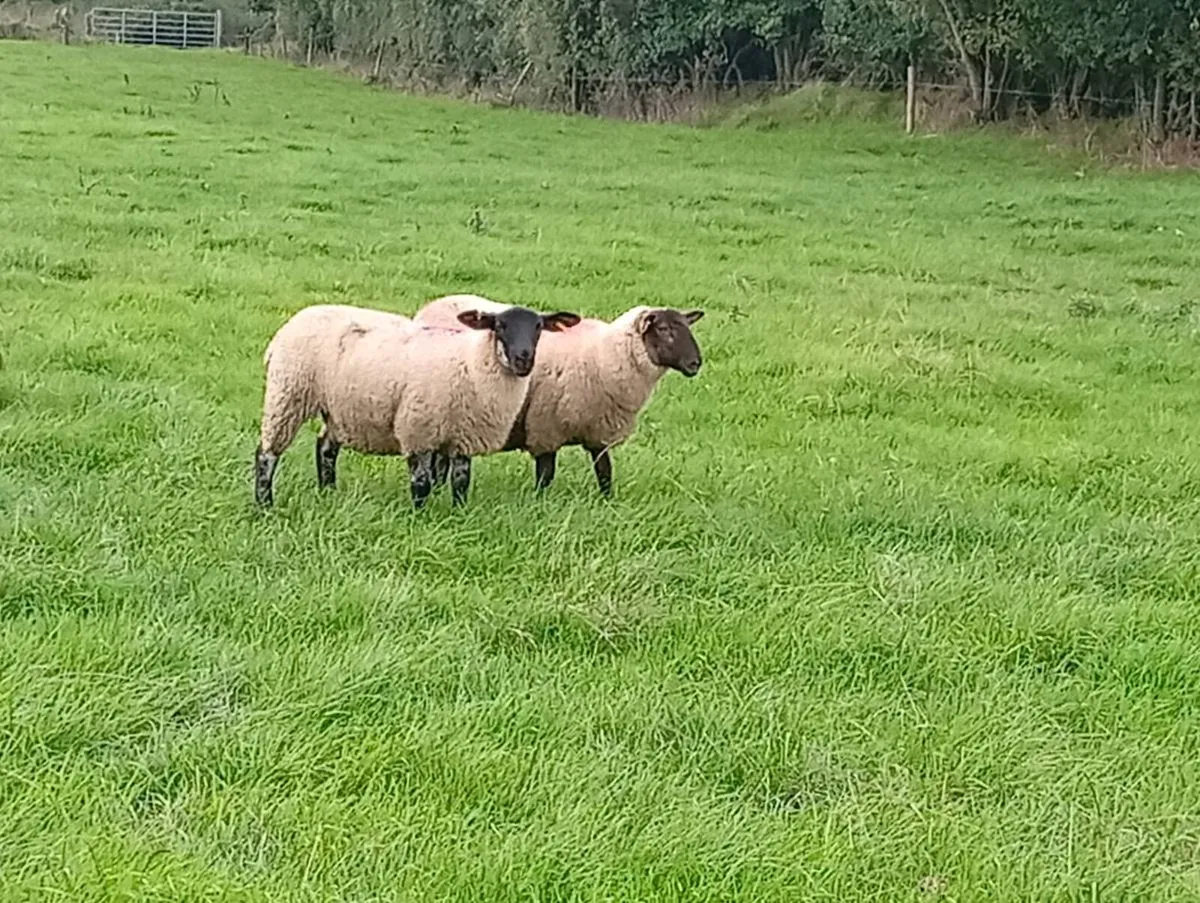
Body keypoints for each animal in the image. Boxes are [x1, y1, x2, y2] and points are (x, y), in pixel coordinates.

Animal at [253, 301, 580, 509]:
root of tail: (292, 322)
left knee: (324, 447)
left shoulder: (465, 433)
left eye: (538, 327)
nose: (523, 358)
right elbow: (421, 481)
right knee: (266, 453)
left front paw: (459, 512)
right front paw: (420, 515)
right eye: (499, 325)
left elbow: (461, 480)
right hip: (287, 394)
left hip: (337, 407)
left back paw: (328, 492)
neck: (470, 363)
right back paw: (265, 504)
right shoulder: (418, 428)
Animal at [413, 295, 704, 496]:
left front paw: (608, 502)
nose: (696, 364)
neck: (604, 354)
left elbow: (605, 472)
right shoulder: (545, 426)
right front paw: (540, 503)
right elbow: (546, 475)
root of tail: (429, 308)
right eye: (664, 330)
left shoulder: (597, 429)